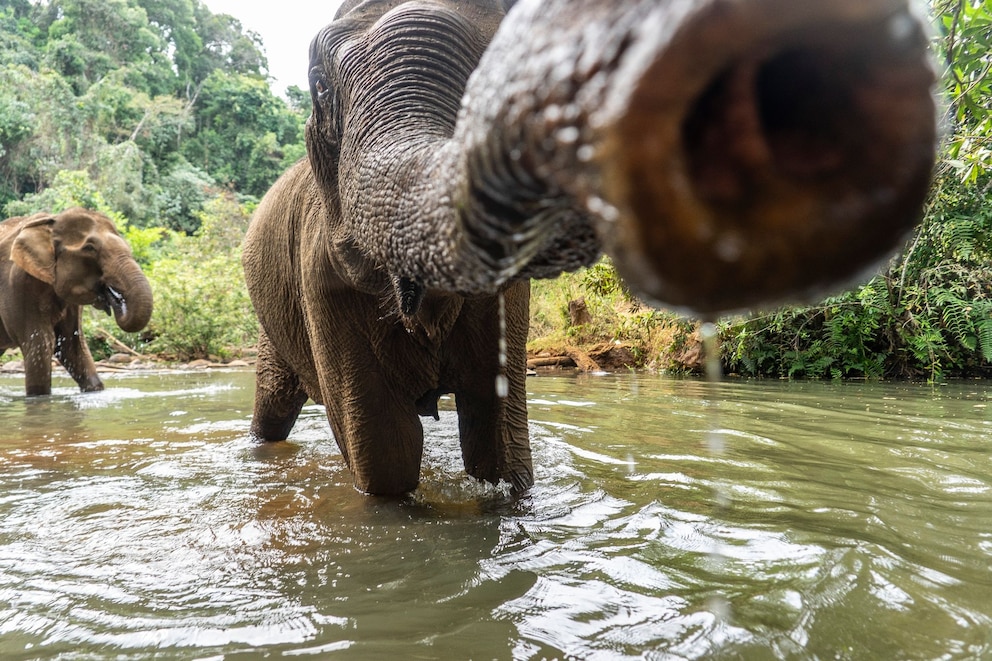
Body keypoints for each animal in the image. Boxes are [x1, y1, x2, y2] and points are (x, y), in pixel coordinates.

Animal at [0, 208, 153, 392]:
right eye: (89, 248)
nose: (114, 296)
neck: (50, 223)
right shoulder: (20, 286)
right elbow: (41, 345)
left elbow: (73, 346)